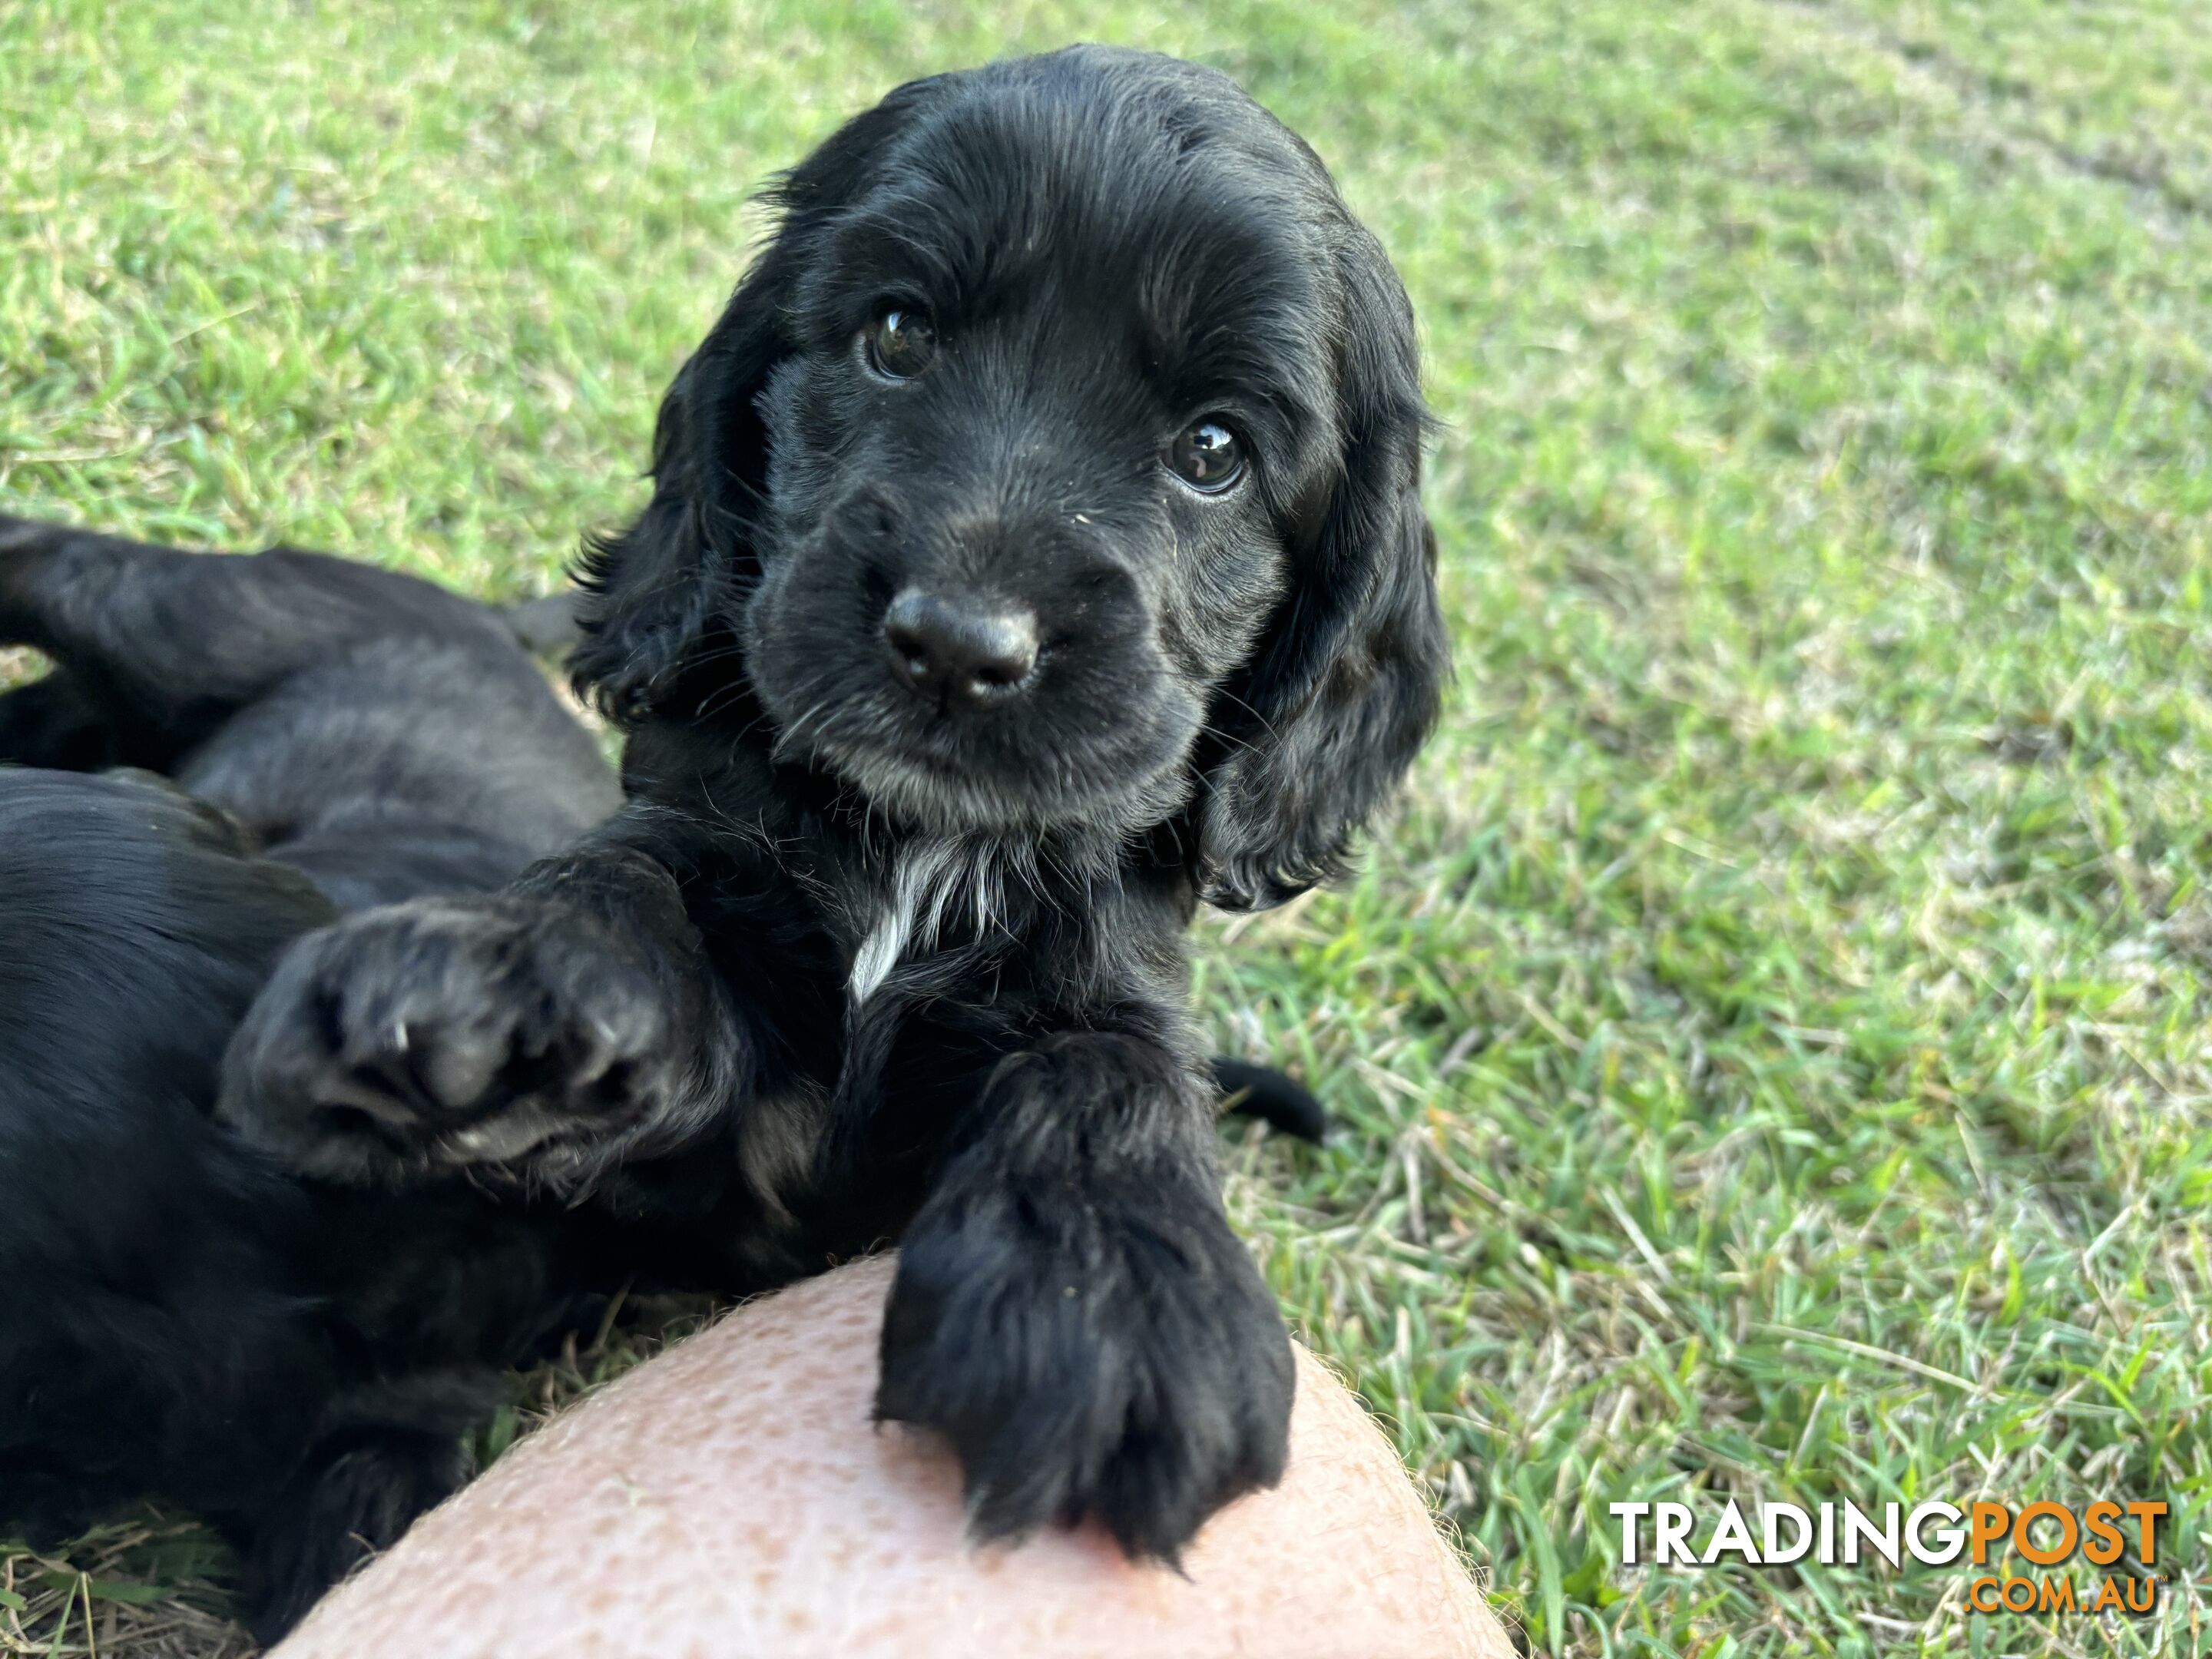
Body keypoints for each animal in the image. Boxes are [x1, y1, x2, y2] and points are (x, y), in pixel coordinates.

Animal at [215, 42, 1442, 1575]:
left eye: (1214, 450)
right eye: (897, 335)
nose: (962, 646)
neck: (919, 846)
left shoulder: (1103, 960)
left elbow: (1109, 1056)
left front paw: (1114, 1290)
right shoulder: (714, 883)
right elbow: (638, 883)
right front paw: (496, 986)